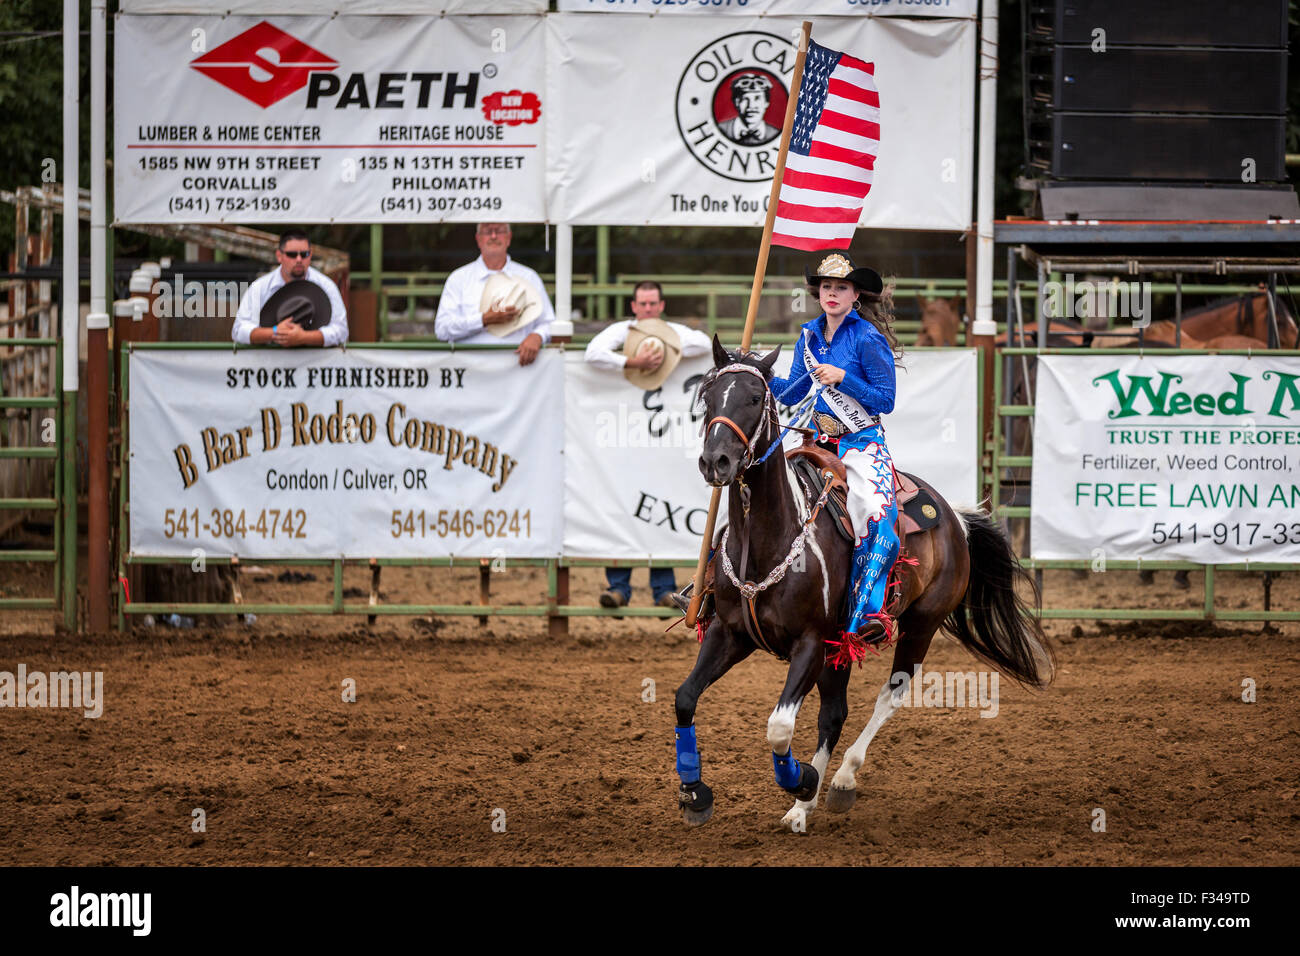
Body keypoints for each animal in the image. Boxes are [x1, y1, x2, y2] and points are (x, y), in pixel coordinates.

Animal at [681, 343, 1055, 832]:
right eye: (708, 396)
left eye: (754, 398)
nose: (716, 462)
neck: (770, 538)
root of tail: (955, 518)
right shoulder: (730, 634)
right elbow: (686, 698)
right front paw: (695, 793)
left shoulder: (810, 642)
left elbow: (779, 727)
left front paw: (802, 781)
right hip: (841, 647)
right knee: (834, 715)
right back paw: (805, 805)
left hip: (919, 625)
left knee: (889, 696)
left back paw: (838, 782)